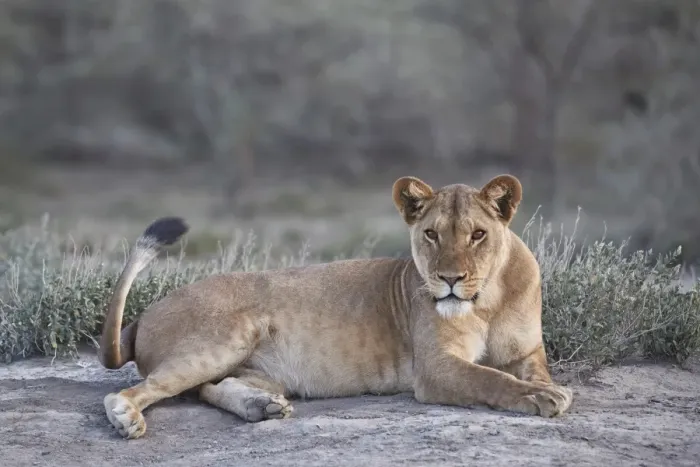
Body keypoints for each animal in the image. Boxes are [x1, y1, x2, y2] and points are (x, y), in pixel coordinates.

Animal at [98, 174, 573, 439]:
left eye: (477, 235)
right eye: (431, 235)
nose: (450, 279)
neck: (487, 301)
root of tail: (143, 315)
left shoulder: (527, 351)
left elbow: (529, 372)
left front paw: (546, 388)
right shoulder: (435, 366)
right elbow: (489, 379)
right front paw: (542, 397)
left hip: (251, 368)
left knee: (212, 387)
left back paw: (262, 408)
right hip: (224, 338)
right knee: (132, 391)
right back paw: (126, 419)